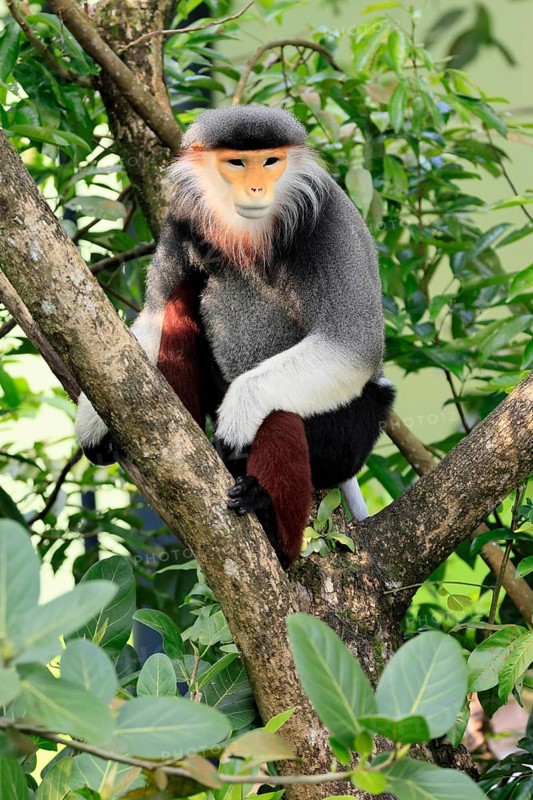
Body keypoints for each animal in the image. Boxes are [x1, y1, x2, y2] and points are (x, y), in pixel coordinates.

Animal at [75, 104, 394, 570]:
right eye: (238, 164)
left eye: (271, 161)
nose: (258, 187)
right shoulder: (181, 223)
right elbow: (151, 316)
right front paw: (93, 417)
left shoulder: (329, 223)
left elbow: (353, 345)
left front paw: (239, 415)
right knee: (180, 297)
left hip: (358, 429)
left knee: (283, 413)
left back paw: (269, 517)